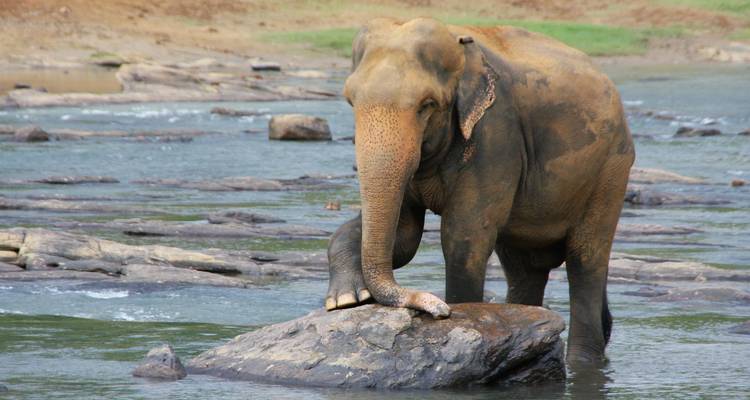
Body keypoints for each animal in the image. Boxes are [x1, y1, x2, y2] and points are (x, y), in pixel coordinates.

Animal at [326, 17, 635, 364]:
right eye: (351, 101)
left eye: (427, 105)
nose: (438, 309)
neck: (458, 42)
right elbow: (405, 235)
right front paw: (347, 299)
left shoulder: (496, 135)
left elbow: (464, 238)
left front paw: (458, 312)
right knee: (524, 268)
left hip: (610, 170)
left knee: (586, 260)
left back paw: (581, 361)